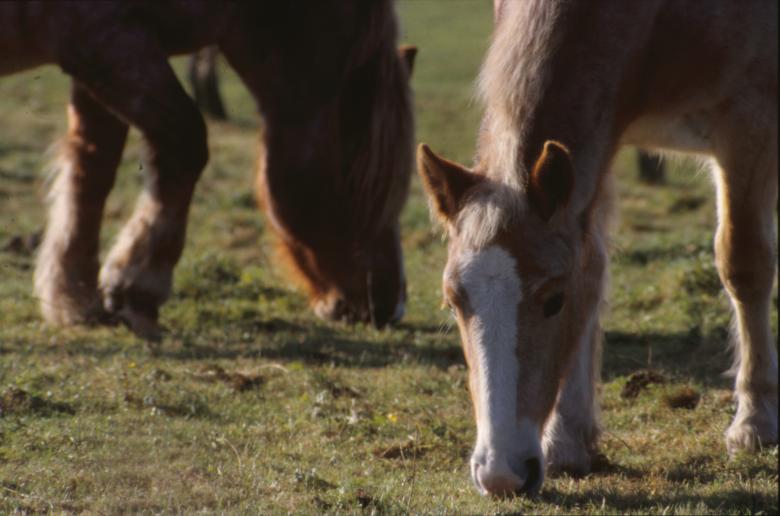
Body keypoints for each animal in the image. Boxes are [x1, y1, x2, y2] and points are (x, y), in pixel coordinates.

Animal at [0, 1, 416, 337]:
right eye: (357, 187)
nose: (387, 308)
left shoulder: (101, 54)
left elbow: (93, 166)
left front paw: (73, 294)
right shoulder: (106, 42)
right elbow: (185, 142)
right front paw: (138, 285)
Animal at [418, 0, 777, 496]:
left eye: (553, 300)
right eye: (454, 302)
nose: (502, 475)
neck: (659, 19)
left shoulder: (746, 128)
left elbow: (743, 266)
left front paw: (754, 423)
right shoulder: (595, 153)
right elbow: (592, 271)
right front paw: (567, 441)